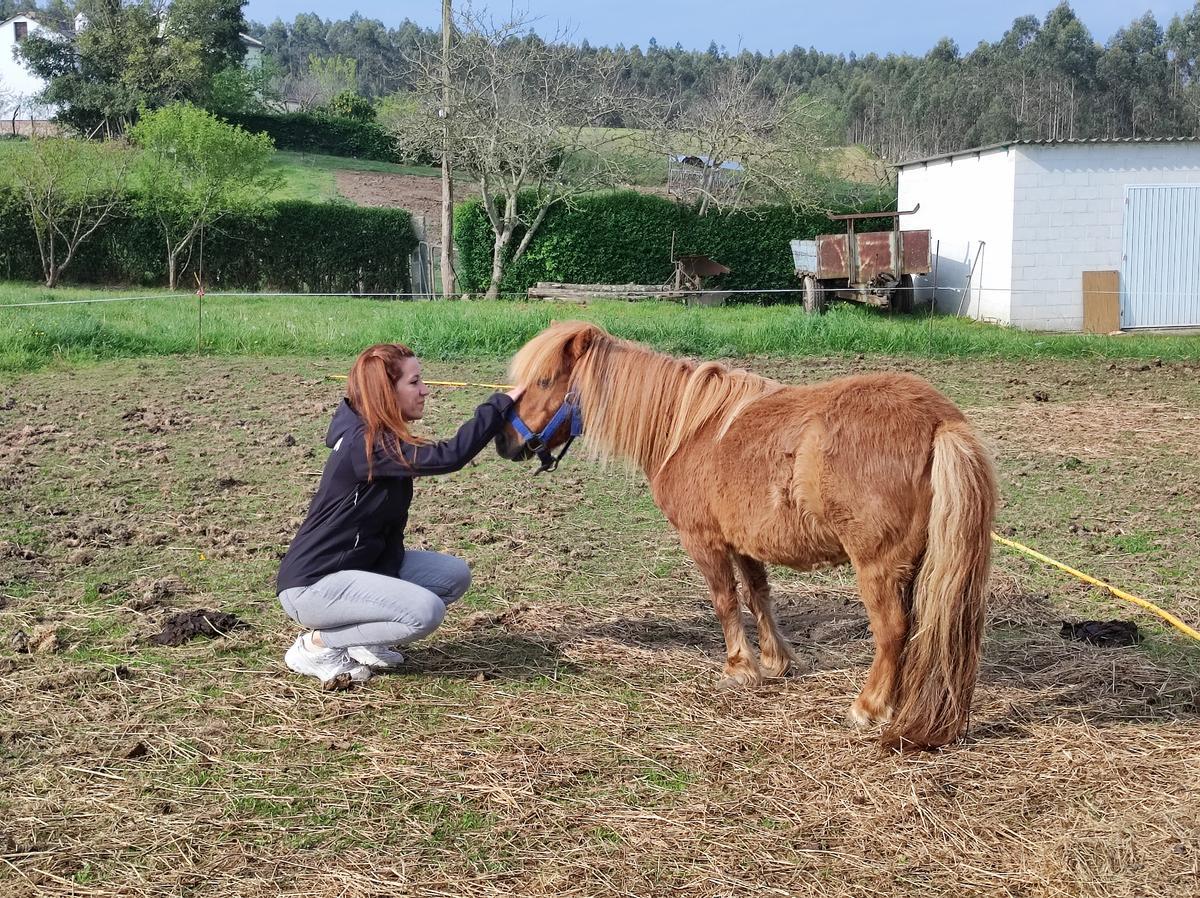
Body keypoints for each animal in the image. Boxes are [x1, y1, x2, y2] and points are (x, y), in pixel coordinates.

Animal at [492, 319, 998, 749]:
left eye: (544, 381)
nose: (504, 441)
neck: (688, 431)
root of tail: (940, 423)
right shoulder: (743, 542)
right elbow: (758, 596)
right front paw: (777, 661)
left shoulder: (704, 541)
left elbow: (724, 601)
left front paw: (739, 667)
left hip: (877, 565)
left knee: (892, 629)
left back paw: (869, 706)